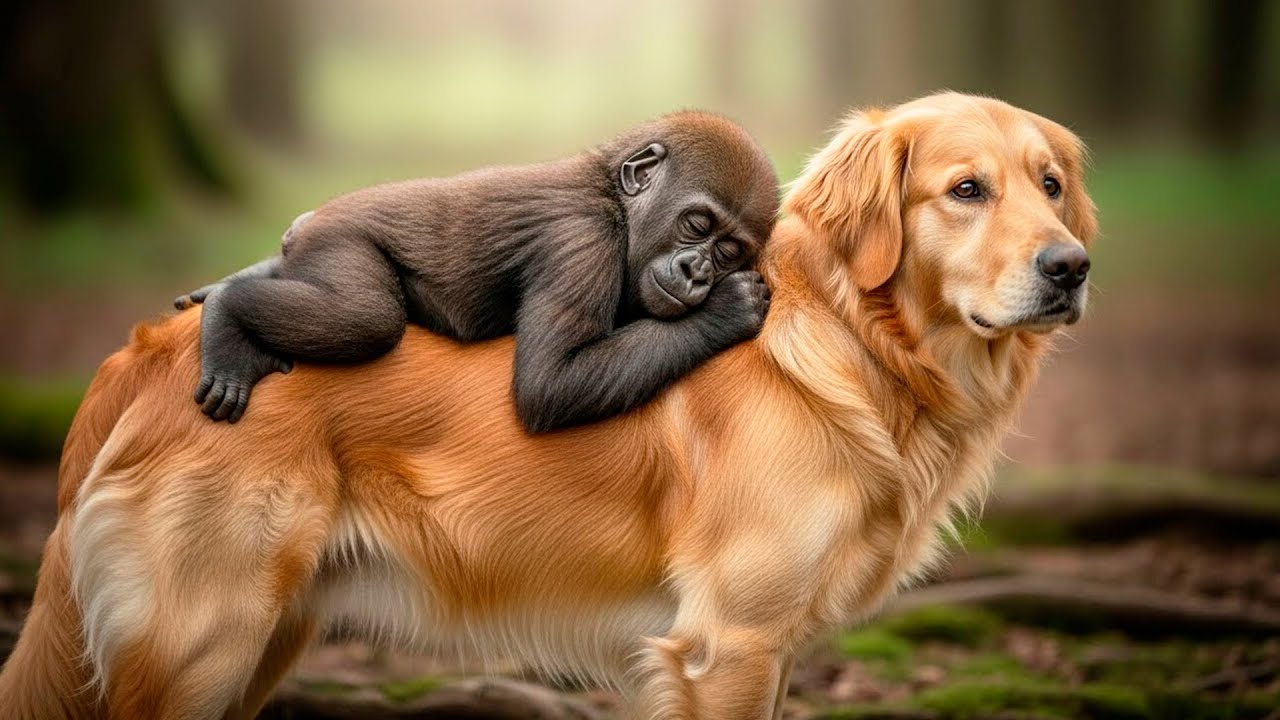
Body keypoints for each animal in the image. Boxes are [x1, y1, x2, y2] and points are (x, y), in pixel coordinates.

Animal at [175, 111, 780, 432]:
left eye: (729, 250)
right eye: (696, 224)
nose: (696, 271)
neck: (616, 201)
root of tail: (311, 221)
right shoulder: (581, 241)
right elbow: (550, 384)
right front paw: (725, 312)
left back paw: (238, 282)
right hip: (338, 236)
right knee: (365, 318)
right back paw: (228, 313)